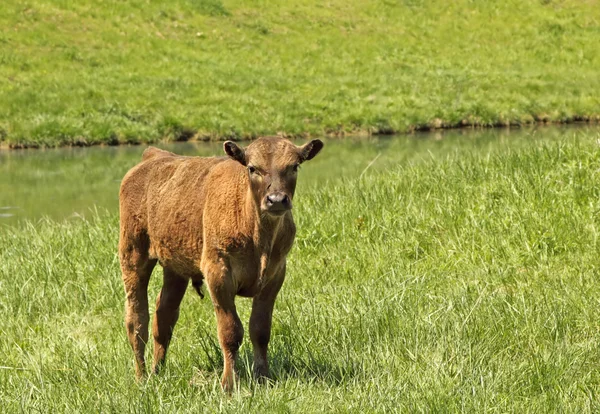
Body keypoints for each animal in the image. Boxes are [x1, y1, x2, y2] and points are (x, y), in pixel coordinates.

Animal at [118, 137, 324, 392]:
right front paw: (229, 383)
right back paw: (142, 377)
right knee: (137, 320)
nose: (276, 200)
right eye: (252, 168)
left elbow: (260, 329)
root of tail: (155, 156)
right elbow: (230, 331)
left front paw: (263, 377)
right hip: (133, 255)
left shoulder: (275, 276)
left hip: (175, 268)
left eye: (294, 166)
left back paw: (158, 371)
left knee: (164, 316)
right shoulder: (218, 274)